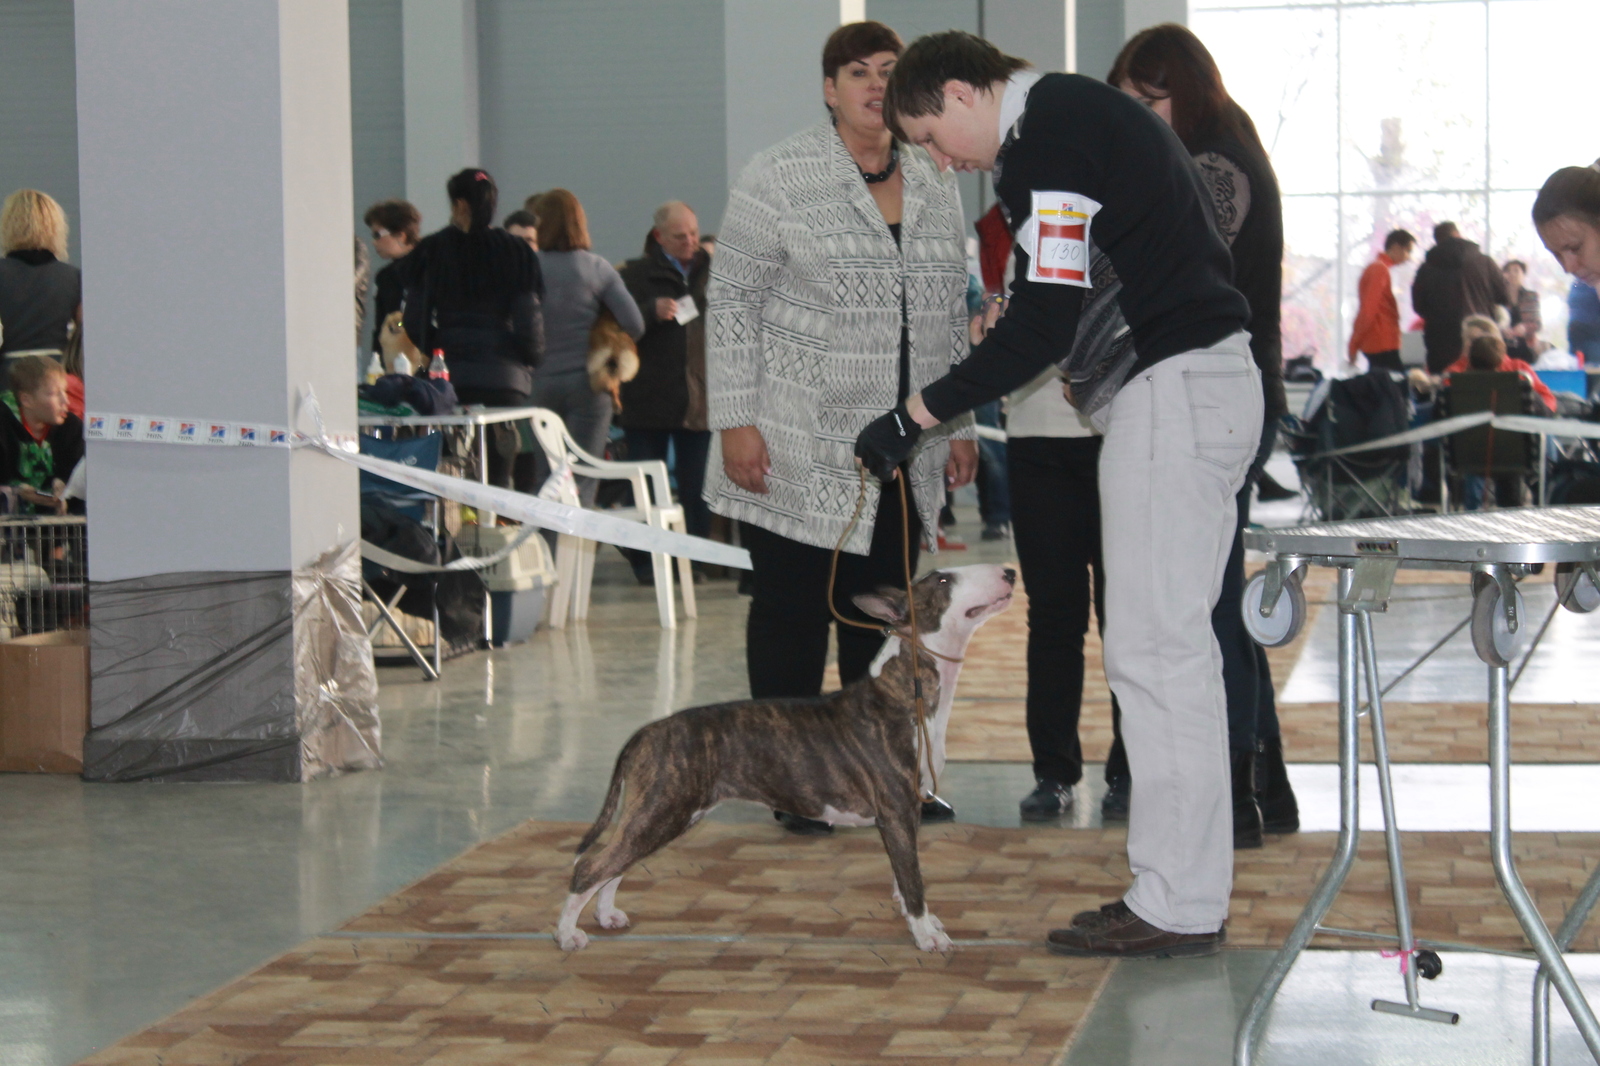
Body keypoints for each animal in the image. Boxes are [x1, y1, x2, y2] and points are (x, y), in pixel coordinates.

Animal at [556, 560, 1017, 947]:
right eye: (943, 581)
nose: (1010, 571)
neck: (908, 691)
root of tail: (645, 733)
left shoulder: (908, 810)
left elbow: (902, 877)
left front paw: (918, 921)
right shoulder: (897, 810)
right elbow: (913, 878)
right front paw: (928, 936)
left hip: (667, 812)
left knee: (616, 863)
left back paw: (606, 915)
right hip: (663, 808)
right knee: (591, 867)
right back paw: (567, 934)